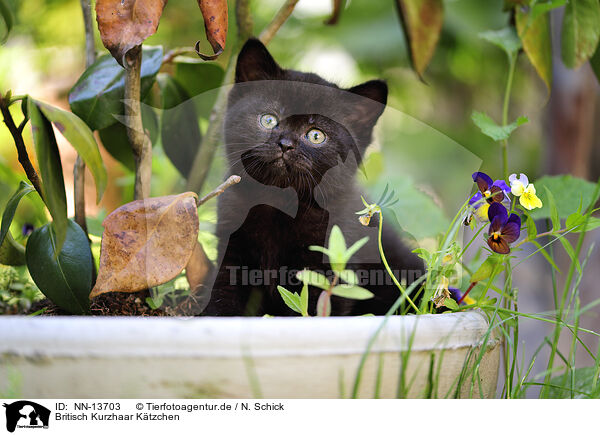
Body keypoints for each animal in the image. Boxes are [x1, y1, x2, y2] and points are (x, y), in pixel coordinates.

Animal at [202, 38, 422, 316]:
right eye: (269, 119)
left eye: (316, 135)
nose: (285, 144)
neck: (280, 204)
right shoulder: (231, 250)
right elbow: (222, 299)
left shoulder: (328, 266)